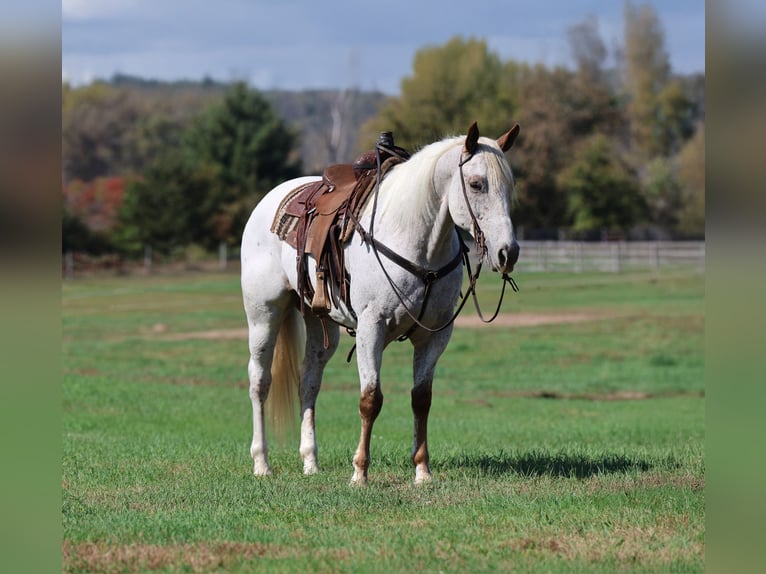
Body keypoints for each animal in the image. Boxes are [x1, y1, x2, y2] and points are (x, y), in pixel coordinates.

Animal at [240, 122, 520, 484]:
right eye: (476, 184)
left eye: (510, 186)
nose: (507, 252)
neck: (416, 241)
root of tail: (269, 201)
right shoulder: (371, 328)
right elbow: (370, 399)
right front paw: (360, 472)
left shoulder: (435, 335)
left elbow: (421, 399)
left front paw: (422, 470)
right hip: (264, 314)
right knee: (260, 382)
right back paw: (262, 463)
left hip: (319, 323)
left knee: (309, 382)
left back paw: (310, 462)